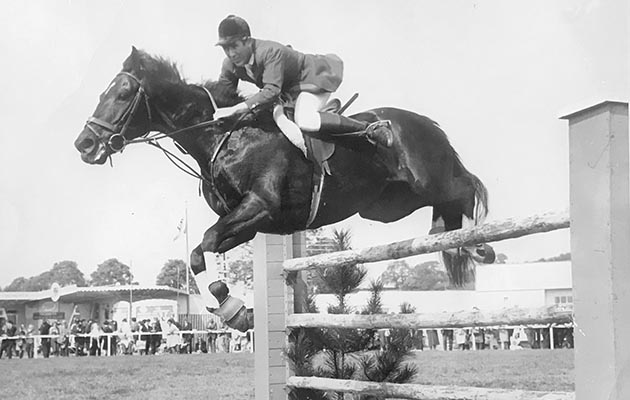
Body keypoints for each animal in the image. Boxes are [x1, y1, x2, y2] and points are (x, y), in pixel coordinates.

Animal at [74, 48, 496, 332]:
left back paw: (479, 244)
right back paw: (455, 240)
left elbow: (204, 243)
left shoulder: (259, 207)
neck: (227, 136)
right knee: (445, 210)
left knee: (466, 188)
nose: (84, 145)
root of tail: (428, 123)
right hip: (389, 205)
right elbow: (199, 253)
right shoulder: (249, 223)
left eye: (123, 94)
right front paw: (234, 311)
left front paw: (232, 306)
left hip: (428, 180)